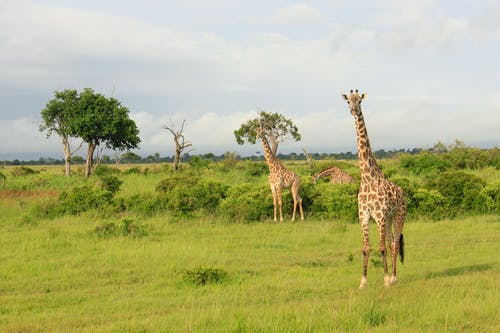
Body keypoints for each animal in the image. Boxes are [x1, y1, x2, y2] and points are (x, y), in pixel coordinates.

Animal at [340, 89, 406, 288]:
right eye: (348, 101)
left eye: (360, 101)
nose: (354, 110)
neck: (368, 177)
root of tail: (403, 193)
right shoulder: (364, 216)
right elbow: (366, 248)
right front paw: (362, 282)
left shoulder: (380, 215)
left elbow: (381, 247)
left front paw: (385, 279)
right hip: (389, 218)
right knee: (392, 242)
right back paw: (392, 276)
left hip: (398, 215)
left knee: (394, 243)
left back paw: (394, 277)